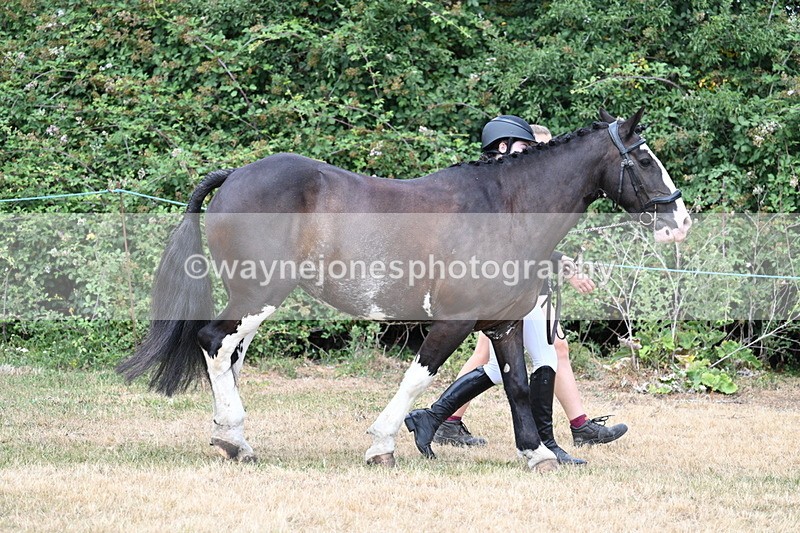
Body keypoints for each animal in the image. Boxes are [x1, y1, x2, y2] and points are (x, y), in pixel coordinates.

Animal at [118, 107, 691, 471]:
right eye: (644, 160)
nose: (681, 221)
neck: (504, 208)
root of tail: (235, 174)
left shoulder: (503, 323)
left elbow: (518, 387)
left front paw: (540, 454)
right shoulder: (453, 322)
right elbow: (418, 378)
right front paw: (383, 446)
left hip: (255, 300)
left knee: (229, 355)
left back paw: (231, 437)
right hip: (258, 295)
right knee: (214, 342)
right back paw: (235, 439)